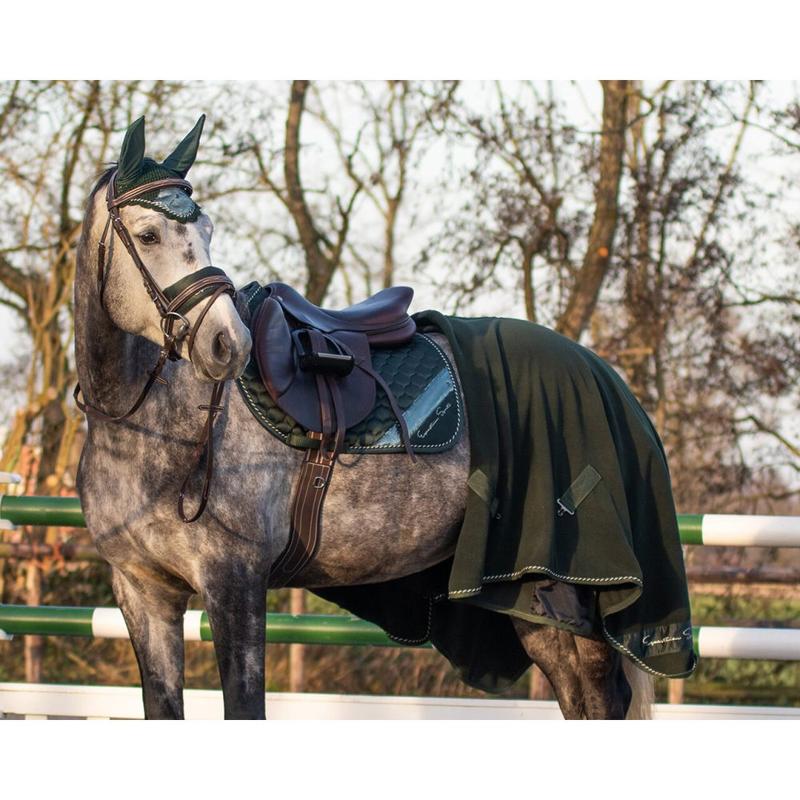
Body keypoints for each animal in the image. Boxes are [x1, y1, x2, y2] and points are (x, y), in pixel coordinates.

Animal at [74, 116, 654, 719]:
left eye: (206, 229)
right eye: (148, 235)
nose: (226, 343)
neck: (152, 428)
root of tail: (605, 375)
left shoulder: (234, 584)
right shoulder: (145, 595)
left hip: (572, 591)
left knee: (603, 696)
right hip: (530, 599)